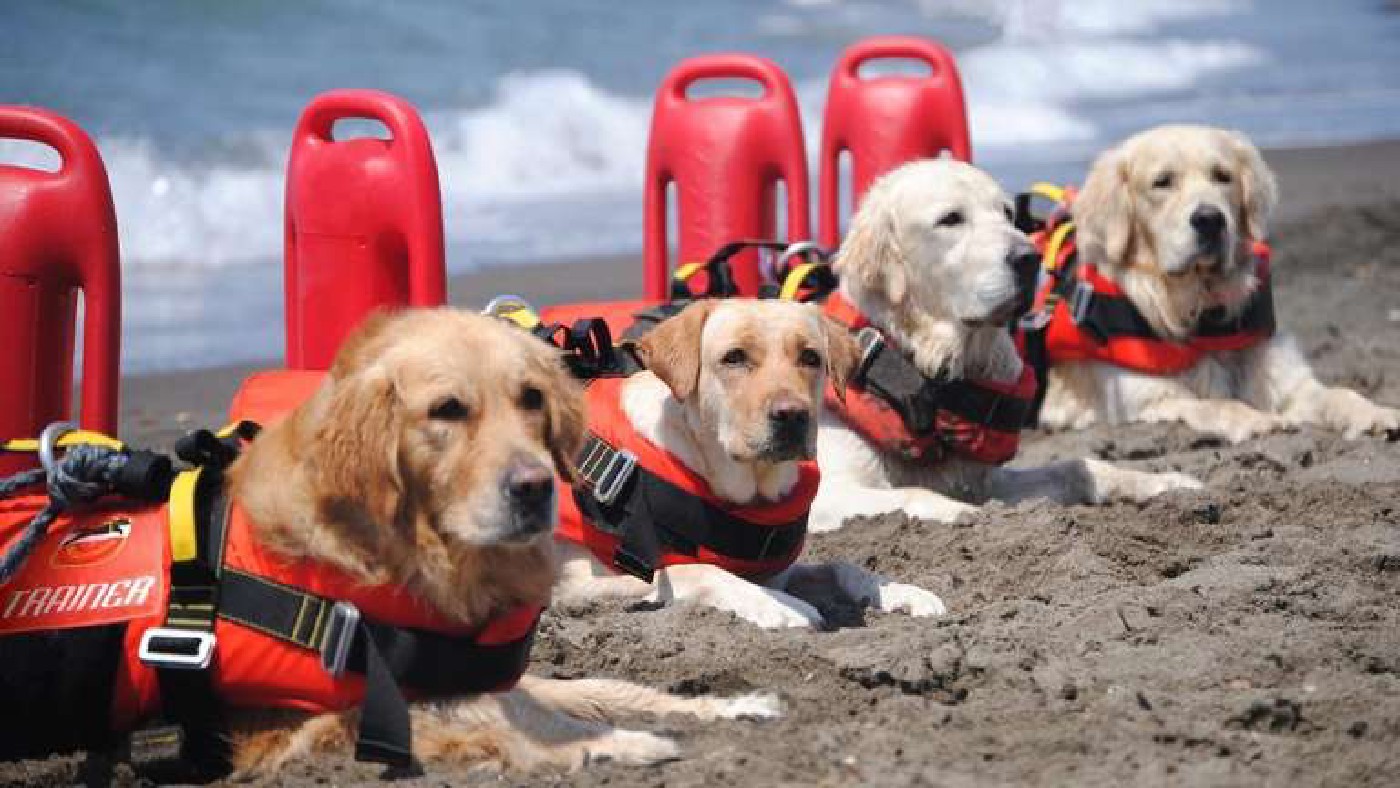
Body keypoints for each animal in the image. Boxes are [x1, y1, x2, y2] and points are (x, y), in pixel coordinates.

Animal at [551, 299, 946, 632]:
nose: (792, 415)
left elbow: (840, 565)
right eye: (734, 357)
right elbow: (701, 570)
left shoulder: (777, 570)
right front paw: (783, 606)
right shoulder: (583, 581)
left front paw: (901, 591)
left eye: (811, 357)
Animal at [806, 158, 1198, 534]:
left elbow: (1075, 466)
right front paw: (967, 515)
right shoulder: (826, 492)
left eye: (1007, 213)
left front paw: (1164, 482)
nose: (1029, 258)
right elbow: (915, 493)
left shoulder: (985, 481)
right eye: (951, 219)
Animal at [1036, 126, 1394, 442]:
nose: (1210, 219)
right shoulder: (1146, 398)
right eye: (1162, 182)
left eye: (1223, 176)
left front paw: (1373, 412)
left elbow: (1338, 394)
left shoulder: (1284, 378)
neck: (1201, 307)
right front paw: (1255, 419)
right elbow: (1216, 403)